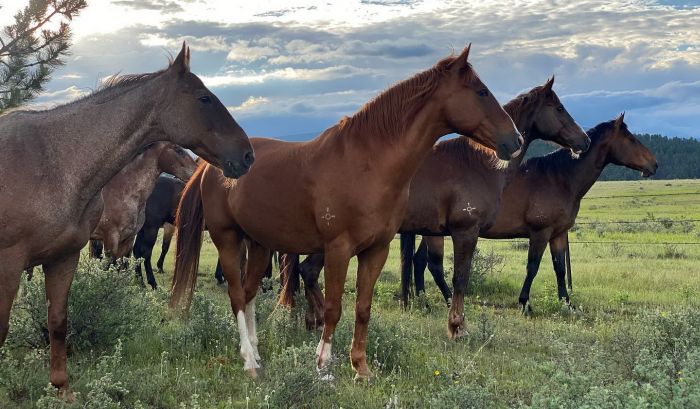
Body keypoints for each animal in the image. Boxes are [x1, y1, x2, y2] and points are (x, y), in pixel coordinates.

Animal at [0, 43, 254, 398]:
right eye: (204, 98)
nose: (247, 155)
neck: (54, 164)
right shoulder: (11, 262)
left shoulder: (66, 257)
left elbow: (59, 321)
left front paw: (62, 389)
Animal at [172, 45, 524, 380]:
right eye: (481, 91)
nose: (516, 139)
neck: (369, 164)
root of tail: (210, 167)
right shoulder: (338, 249)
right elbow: (333, 308)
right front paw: (323, 365)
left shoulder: (376, 250)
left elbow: (363, 308)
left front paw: (361, 368)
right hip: (227, 239)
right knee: (235, 296)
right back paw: (249, 363)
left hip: (258, 245)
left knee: (248, 296)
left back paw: (257, 357)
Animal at [278, 77, 592, 334]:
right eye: (559, 108)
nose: (584, 140)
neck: (478, 163)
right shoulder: (465, 231)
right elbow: (459, 278)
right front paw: (457, 326)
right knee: (308, 271)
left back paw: (310, 321)